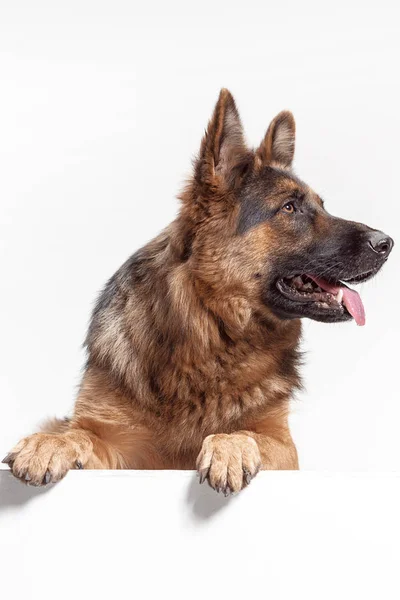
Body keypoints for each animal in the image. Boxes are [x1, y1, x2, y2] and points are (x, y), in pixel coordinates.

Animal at [1, 89, 392, 492]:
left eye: (321, 206)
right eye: (290, 208)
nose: (387, 242)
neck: (211, 331)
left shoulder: (283, 444)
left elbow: (246, 433)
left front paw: (228, 447)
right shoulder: (115, 441)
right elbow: (79, 434)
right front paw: (49, 443)